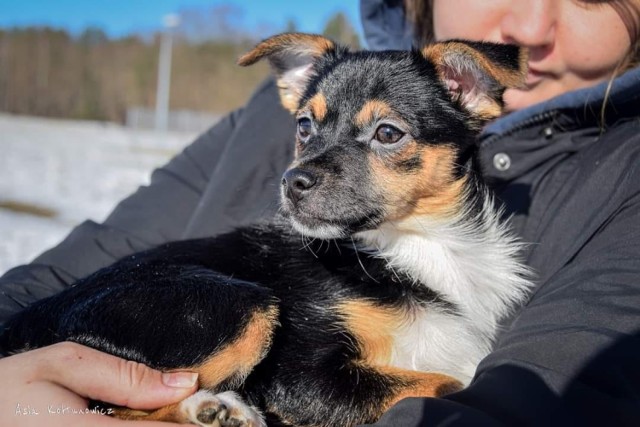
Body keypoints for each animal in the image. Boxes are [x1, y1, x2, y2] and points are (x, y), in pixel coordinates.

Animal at [0, 33, 528, 427]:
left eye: (388, 133)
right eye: (304, 126)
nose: (292, 182)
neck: (413, 244)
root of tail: (22, 322)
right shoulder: (302, 380)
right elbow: (445, 383)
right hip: (237, 302)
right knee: (114, 409)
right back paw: (213, 407)